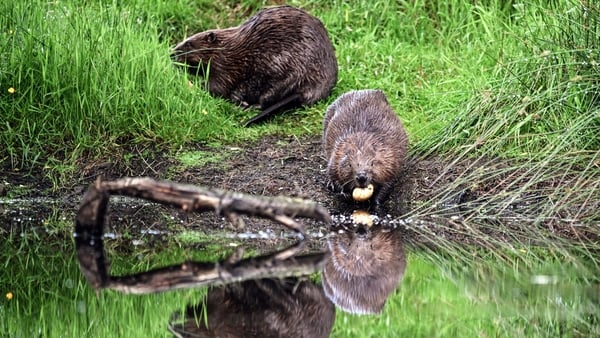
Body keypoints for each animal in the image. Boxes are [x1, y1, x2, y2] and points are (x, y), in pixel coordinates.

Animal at [171, 4, 338, 127]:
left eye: (189, 43)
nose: (172, 54)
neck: (226, 48)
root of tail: (311, 89)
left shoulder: (224, 67)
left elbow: (217, 87)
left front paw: (196, 85)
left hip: (282, 70)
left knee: (267, 98)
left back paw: (249, 106)